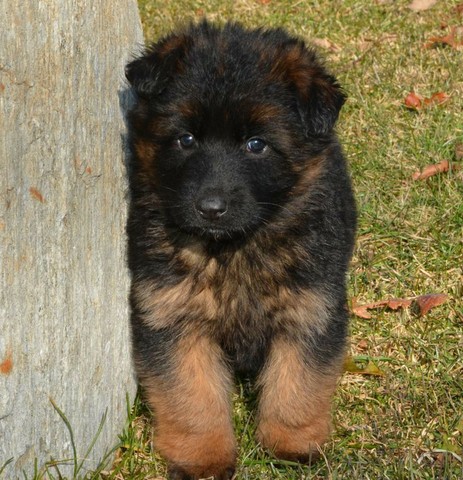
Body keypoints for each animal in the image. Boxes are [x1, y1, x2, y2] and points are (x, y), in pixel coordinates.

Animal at [125, 19, 358, 480]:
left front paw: (291, 445)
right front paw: (203, 457)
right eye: (186, 139)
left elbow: (297, 386)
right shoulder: (173, 317)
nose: (211, 208)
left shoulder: (310, 312)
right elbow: (192, 397)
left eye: (256, 144)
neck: (235, 249)